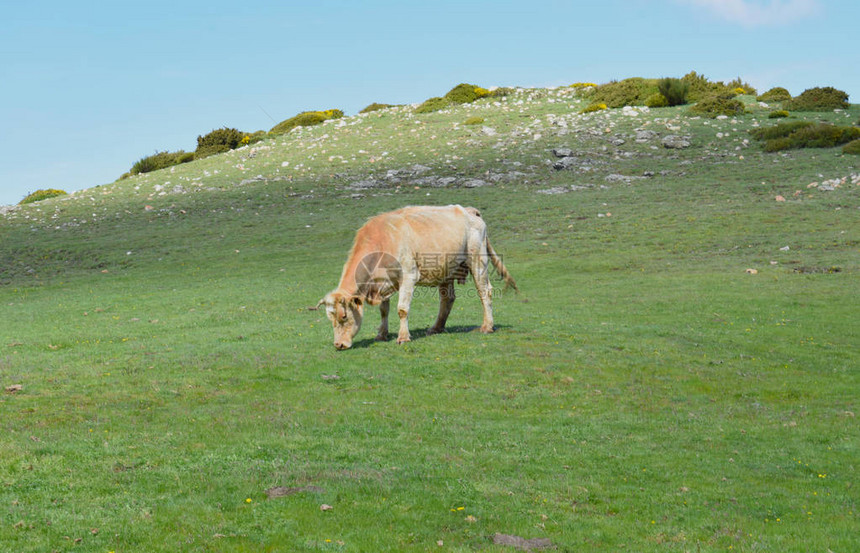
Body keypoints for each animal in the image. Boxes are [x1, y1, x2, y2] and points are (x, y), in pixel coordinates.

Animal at [318, 203, 512, 350]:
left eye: (344, 316)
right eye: (330, 317)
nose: (339, 345)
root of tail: (468, 210)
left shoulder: (408, 276)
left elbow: (402, 309)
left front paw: (403, 337)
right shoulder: (384, 284)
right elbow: (384, 310)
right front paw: (381, 334)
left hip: (478, 261)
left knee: (485, 292)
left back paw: (487, 326)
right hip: (446, 270)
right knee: (447, 299)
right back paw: (436, 328)